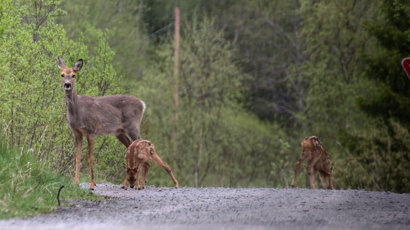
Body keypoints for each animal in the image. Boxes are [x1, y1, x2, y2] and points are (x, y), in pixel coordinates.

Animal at [58, 58, 145, 190]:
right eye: (62, 75)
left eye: (74, 75)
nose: (67, 85)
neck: (78, 112)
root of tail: (142, 104)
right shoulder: (77, 132)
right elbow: (77, 158)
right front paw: (75, 182)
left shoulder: (91, 130)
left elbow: (90, 158)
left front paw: (92, 184)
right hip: (119, 132)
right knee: (130, 148)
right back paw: (127, 184)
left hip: (133, 126)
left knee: (141, 146)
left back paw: (139, 185)